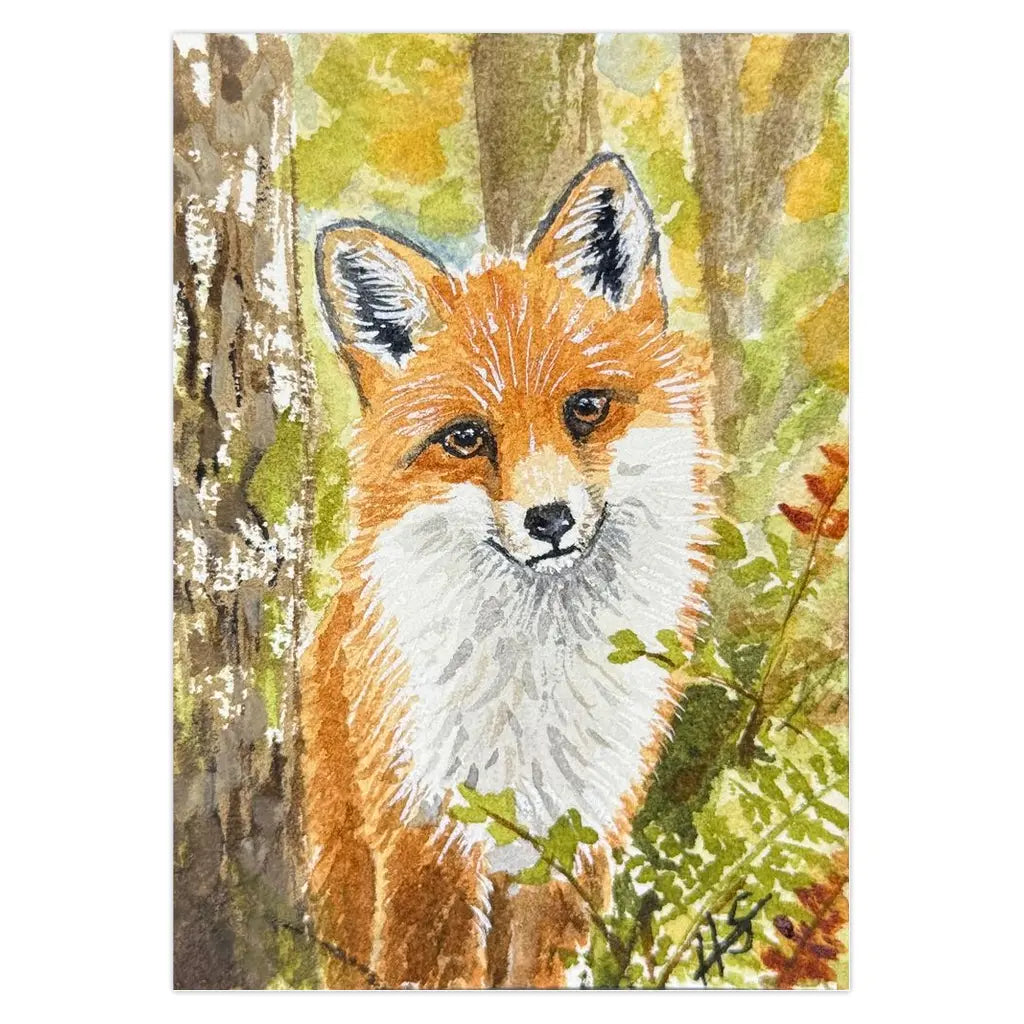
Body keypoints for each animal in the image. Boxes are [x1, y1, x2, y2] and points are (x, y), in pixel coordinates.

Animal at [300, 153, 715, 989]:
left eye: (586, 408)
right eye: (466, 439)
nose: (548, 520)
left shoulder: (574, 839)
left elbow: (543, 972)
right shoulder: (427, 828)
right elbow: (428, 971)